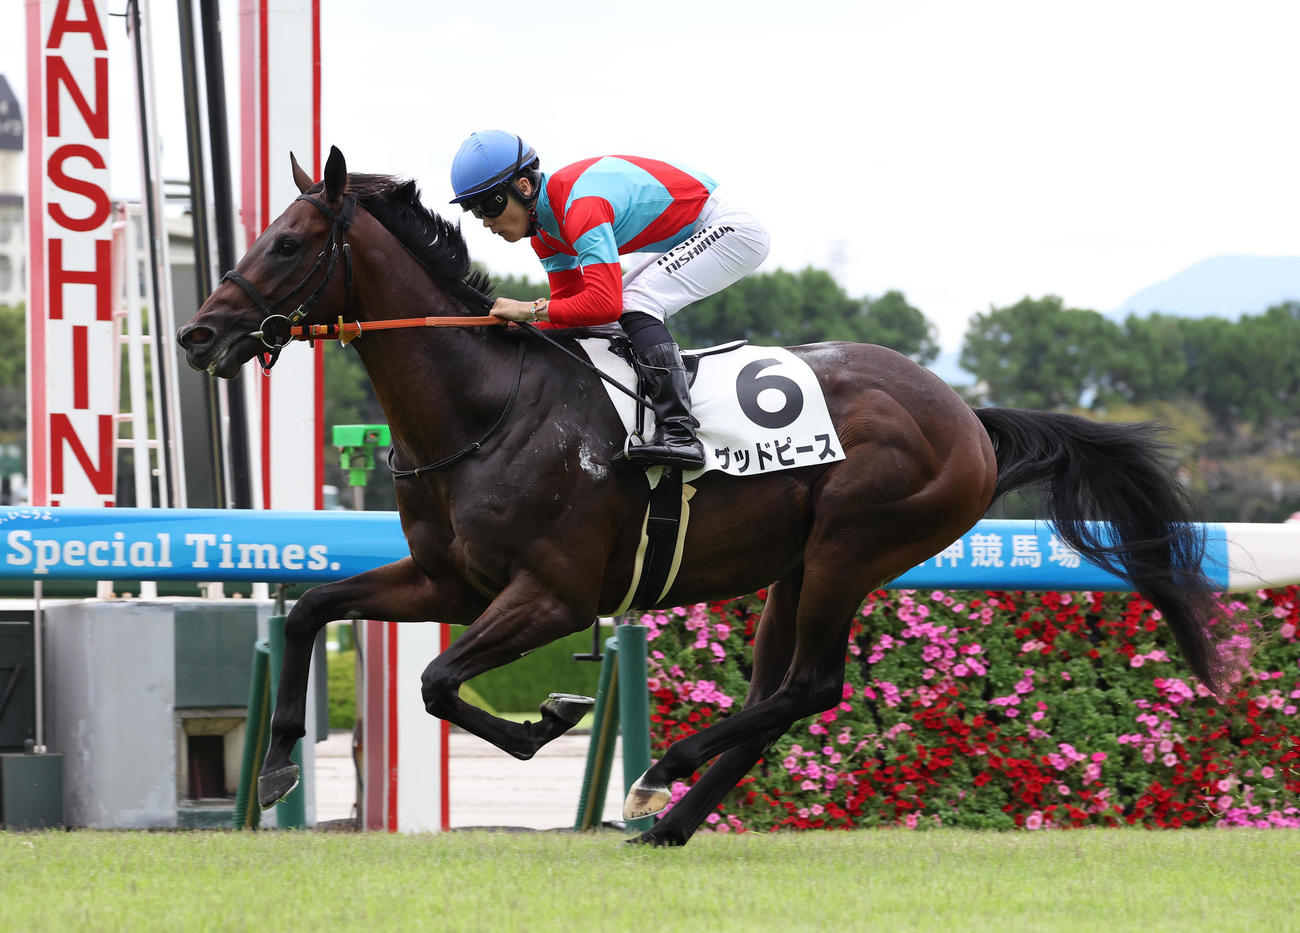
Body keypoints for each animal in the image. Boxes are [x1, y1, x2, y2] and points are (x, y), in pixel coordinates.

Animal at [178, 147, 1225, 846]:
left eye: (290, 243)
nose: (198, 334)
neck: (487, 406)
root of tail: (966, 414)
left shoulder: (555, 593)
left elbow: (438, 679)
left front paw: (551, 720)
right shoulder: (450, 579)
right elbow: (313, 608)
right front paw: (276, 764)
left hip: (855, 545)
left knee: (811, 685)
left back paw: (659, 777)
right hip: (796, 569)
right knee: (777, 695)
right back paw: (670, 818)